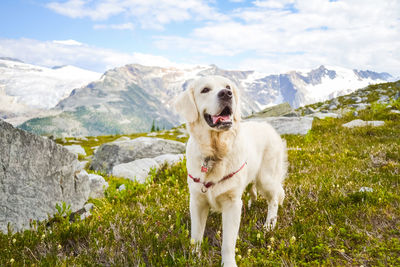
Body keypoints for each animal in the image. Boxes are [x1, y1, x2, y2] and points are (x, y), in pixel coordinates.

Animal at [173, 76, 286, 267]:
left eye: (227, 86)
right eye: (205, 90)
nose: (226, 93)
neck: (214, 153)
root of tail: (268, 126)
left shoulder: (232, 203)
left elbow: (227, 243)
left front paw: (228, 263)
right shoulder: (197, 201)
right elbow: (196, 236)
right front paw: (194, 258)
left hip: (266, 178)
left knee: (275, 199)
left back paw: (269, 224)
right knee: (254, 192)